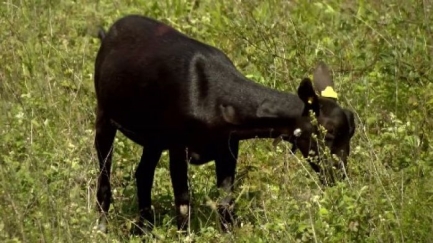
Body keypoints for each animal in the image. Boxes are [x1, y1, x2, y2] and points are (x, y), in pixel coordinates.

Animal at [92, 14, 354, 234]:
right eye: (328, 134)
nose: (339, 179)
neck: (213, 97)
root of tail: (110, 33)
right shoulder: (178, 146)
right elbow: (183, 201)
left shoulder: (228, 148)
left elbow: (225, 202)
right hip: (104, 115)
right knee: (104, 178)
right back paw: (102, 228)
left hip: (154, 138)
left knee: (143, 173)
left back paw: (144, 228)